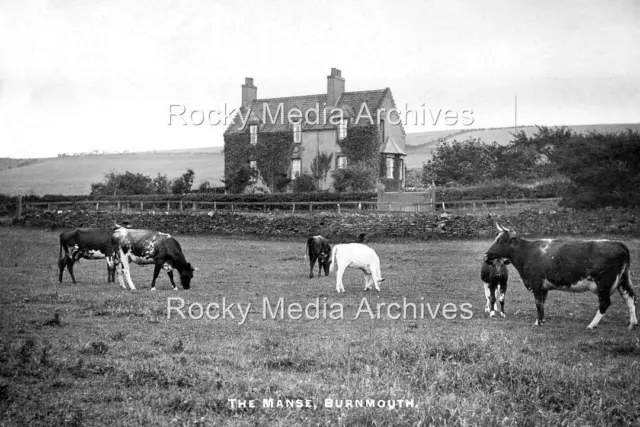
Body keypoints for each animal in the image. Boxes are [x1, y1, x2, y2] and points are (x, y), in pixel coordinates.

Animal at [484, 224, 636, 332]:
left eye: (501, 241)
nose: (486, 255)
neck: (528, 253)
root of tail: (618, 243)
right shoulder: (543, 287)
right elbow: (542, 304)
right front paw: (541, 321)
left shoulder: (536, 283)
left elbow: (538, 303)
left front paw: (537, 323)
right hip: (623, 280)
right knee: (630, 298)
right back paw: (632, 324)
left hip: (604, 283)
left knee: (605, 303)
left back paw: (591, 325)